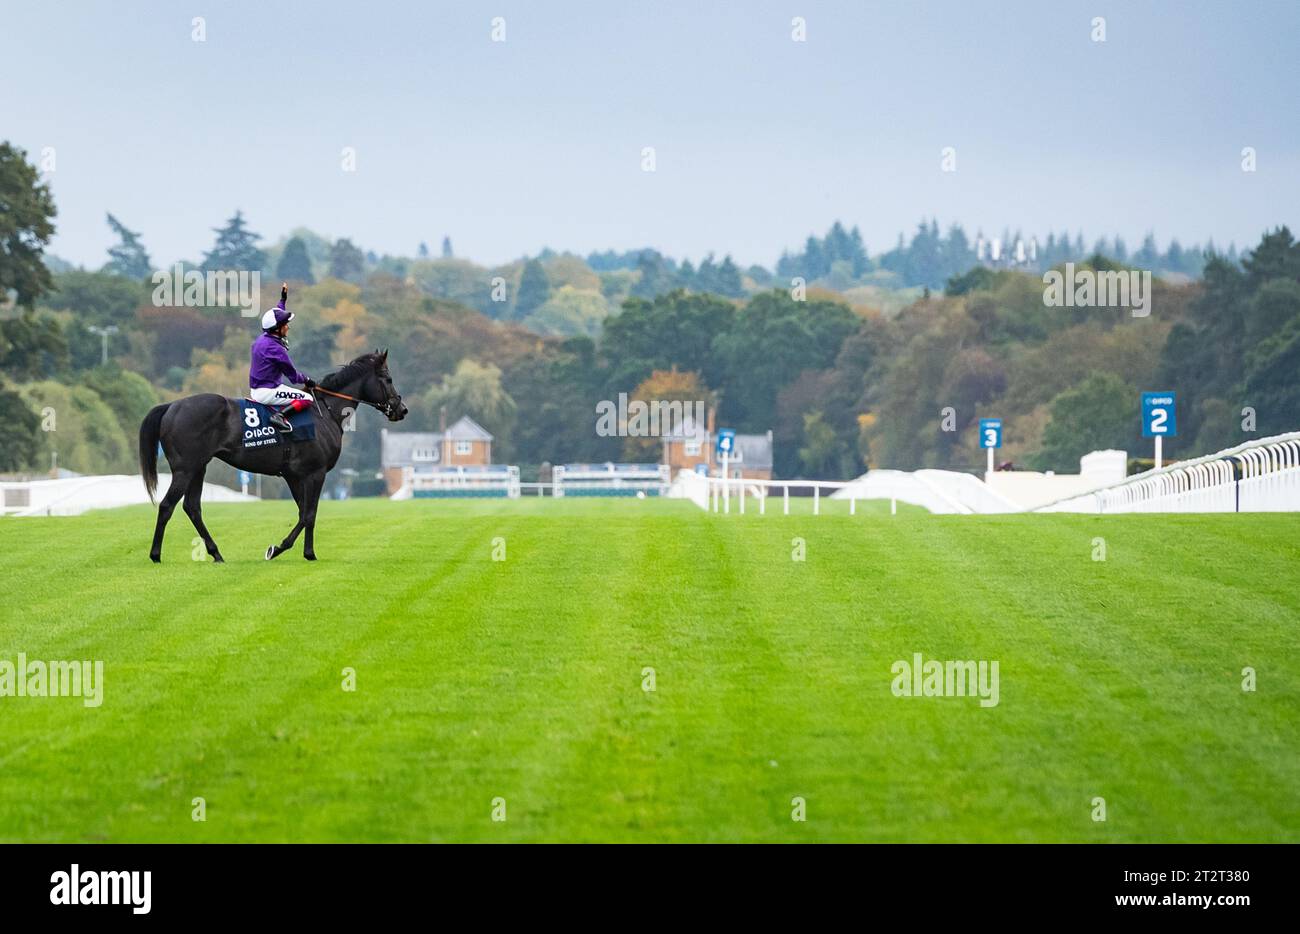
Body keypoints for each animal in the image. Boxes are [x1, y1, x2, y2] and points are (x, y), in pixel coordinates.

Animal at [137, 353, 405, 564]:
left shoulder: (295, 476)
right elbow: (309, 513)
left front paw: (298, 550)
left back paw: (216, 553)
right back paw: (156, 555)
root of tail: (172, 406)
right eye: (388, 379)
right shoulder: (315, 473)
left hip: (198, 468)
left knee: (192, 508)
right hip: (185, 469)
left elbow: (303, 512)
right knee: (167, 506)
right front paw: (284, 550)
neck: (325, 413)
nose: (401, 409)